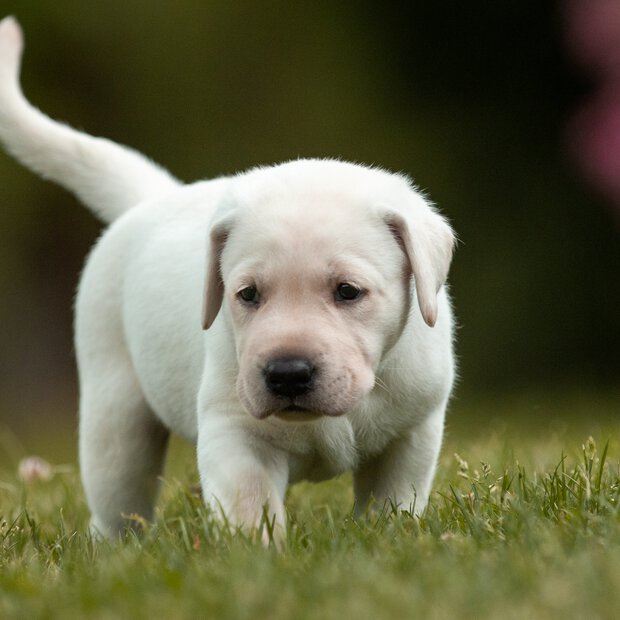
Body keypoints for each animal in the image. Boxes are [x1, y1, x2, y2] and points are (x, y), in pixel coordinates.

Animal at [0, 18, 456, 544]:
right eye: (248, 295)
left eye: (348, 291)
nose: (286, 373)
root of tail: (153, 198)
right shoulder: (235, 430)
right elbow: (250, 503)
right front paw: (255, 551)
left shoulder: (413, 432)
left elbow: (393, 501)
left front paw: (388, 537)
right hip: (115, 418)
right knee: (117, 499)